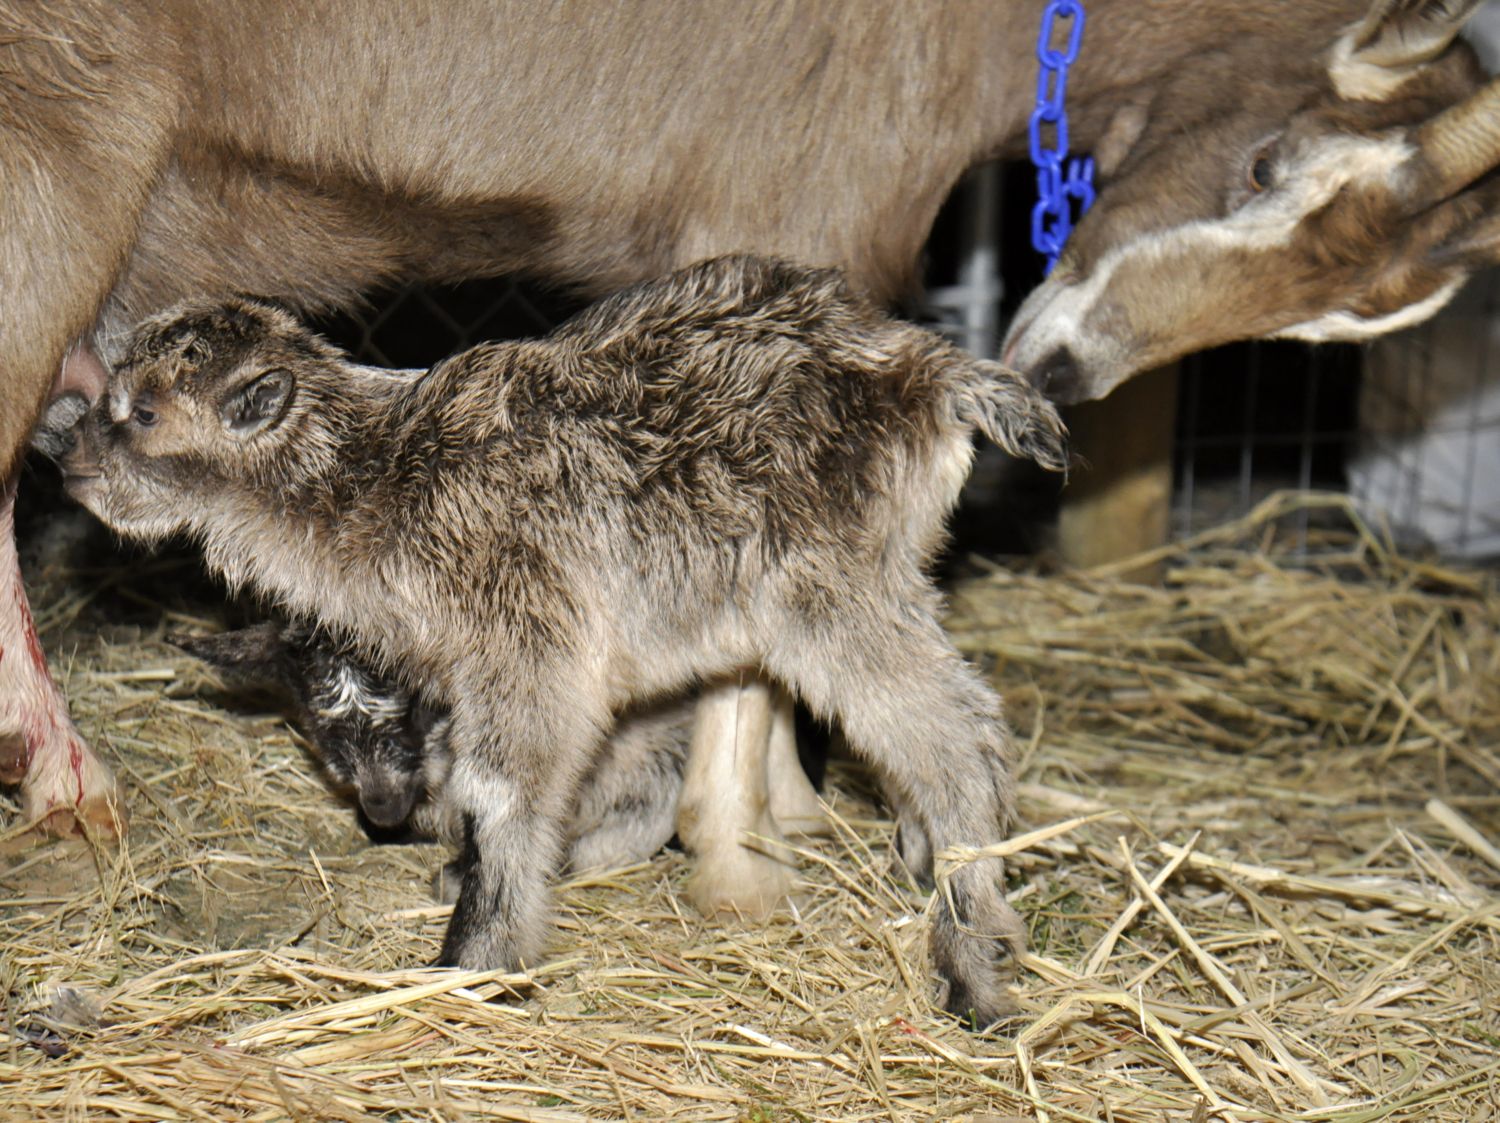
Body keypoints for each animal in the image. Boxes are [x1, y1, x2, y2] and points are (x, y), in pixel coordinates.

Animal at [5, 3, 1498, 921]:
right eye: (1266, 162)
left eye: (1353, 315)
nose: (1066, 371)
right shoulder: (792, 206)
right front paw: (734, 856)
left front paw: (791, 810)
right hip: (54, 151)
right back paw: (65, 773)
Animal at [54, 255, 1068, 1024]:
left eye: (143, 412)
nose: (67, 461)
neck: (382, 481)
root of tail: (930, 372)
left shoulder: (528, 637)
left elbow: (506, 792)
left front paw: (476, 956)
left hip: (831, 591)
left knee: (956, 739)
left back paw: (972, 950)